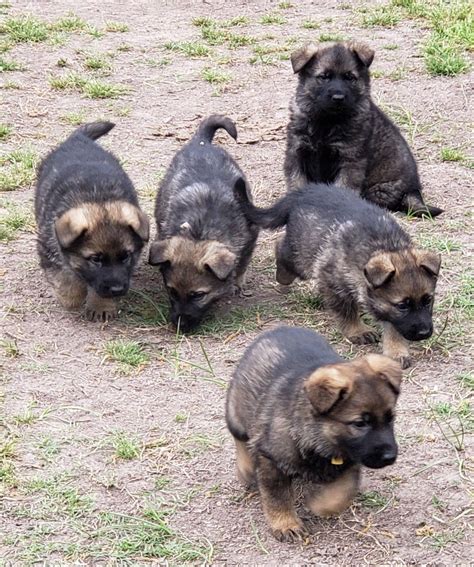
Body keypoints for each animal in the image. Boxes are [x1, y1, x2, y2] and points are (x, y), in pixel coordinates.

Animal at [35, 122, 149, 322]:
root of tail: (77, 139)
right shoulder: (49, 248)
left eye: (126, 256)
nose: (117, 289)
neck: (97, 197)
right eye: (96, 259)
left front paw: (101, 306)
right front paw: (72, 298)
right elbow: (65, 278)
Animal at [149, 114, 258, 332]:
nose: (180, 326)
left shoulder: (252, 234)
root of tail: (201, 141)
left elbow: (242, 263)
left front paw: (236, 283)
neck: (200, 231)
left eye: (198, 295)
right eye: (171, 291)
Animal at [226, 326, 400, 544]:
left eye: (391, 418)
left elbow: (343, 491)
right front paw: (286, 524)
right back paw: (246, 468)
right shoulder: (271, 460)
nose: (390, 457)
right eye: (360, 423)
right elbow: (277, 497)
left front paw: (320, 504)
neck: (317, 438)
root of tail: (280, 328)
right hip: (237, 412)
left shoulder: (350, 460)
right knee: (240, 438)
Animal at [233, 181, 440, 368]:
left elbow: (393, 326)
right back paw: (283, 276)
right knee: (282, 250)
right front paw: (357, 330)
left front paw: (396, 351)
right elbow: (346, 311)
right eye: (402, 305)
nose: (425, 333)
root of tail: (305, 192)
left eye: (428, 300)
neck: (382, 246)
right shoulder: (333, 283)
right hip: (303, 254)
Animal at [286, 41, 444, 220]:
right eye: (324, 77)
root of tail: (414, 190)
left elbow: (343, 187)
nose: (338, 98)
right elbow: (296, 182)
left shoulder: (350, 160)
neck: (327, 121)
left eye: (350, 77)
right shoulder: (297, 152)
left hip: (378, 189)